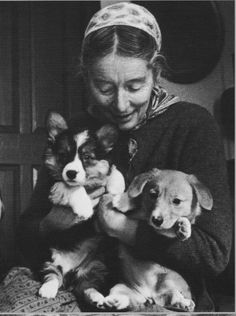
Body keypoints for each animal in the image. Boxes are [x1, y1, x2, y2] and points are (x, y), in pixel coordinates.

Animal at [38, 111, 125, 308]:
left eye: (87, 157)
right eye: (63, 155)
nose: (71, 173)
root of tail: (71, 274)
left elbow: (112, 171)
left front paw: (117, 188)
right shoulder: (53, 186)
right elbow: (71, 187)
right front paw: (85, 208)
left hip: (97, 266)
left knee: (86, 286)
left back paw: (97, 298)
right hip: (47, 258)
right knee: (52, 275)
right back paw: (47, 290)